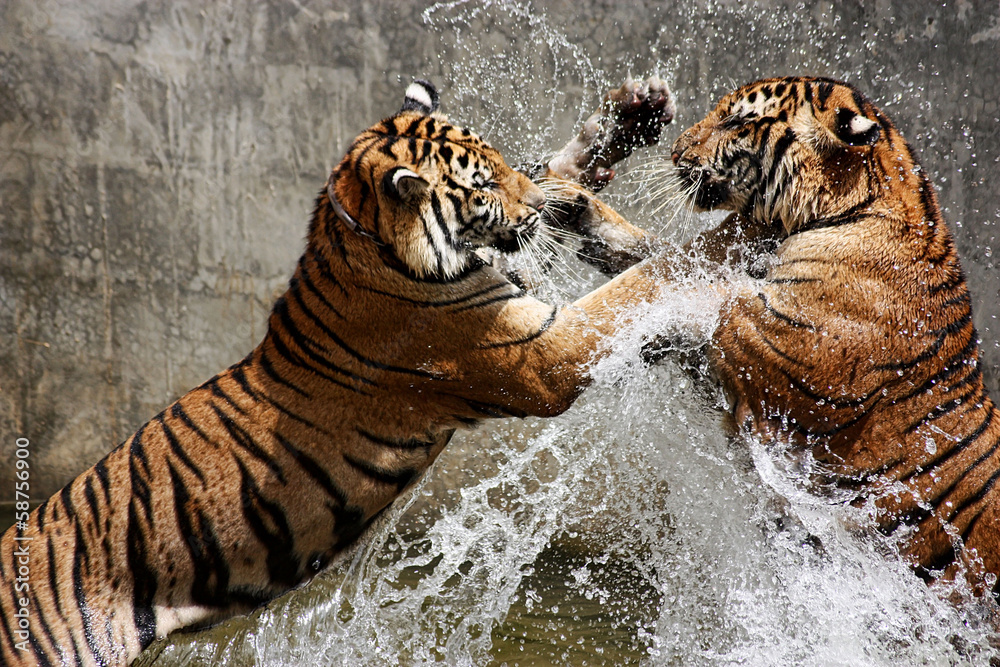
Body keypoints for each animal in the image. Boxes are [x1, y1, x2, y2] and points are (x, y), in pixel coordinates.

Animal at [0, 77, 678, 666]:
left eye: (501, 159)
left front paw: (629, 117)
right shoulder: (541, 354)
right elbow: (636, 285)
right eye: (483, 185)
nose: (535, 208)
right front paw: (695, 253)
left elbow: (559, 180)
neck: (365, 237)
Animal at [565, 76, 1000, 601]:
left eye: (736, 121)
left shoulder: (781, 350)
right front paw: (574, 204)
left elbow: (695, 292)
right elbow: (665, 258)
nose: (675, 151)